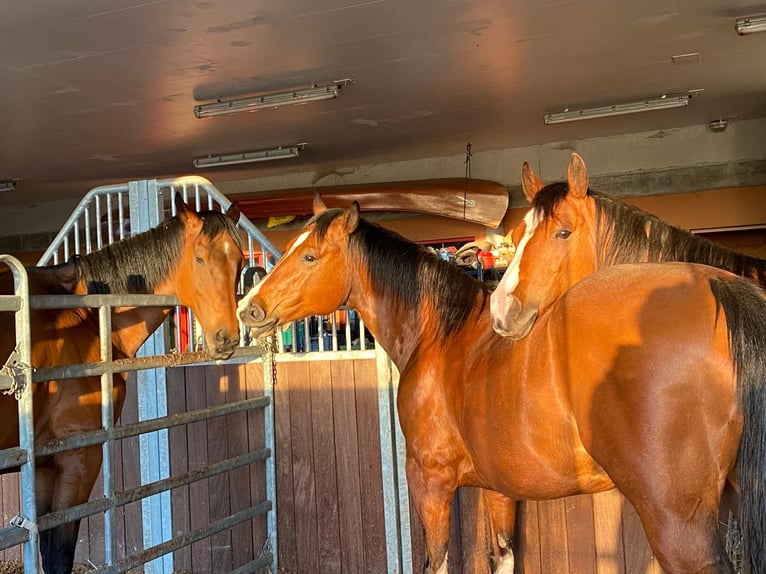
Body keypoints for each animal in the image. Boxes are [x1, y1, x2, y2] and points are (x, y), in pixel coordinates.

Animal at [0, 194, 243, 574]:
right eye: (200, 257)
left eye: (241, 260)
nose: (226, 339)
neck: (85, 311)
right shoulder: (79, 458)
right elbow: (58, 556)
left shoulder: (41, 465)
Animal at [237, 197, 766, 573]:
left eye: (308, 255)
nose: (248, 308)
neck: (442, 334)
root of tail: (720, 286)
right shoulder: (498, 488)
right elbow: (504, 557)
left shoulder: (429, 482)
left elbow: (436, 562)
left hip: (676, 524)